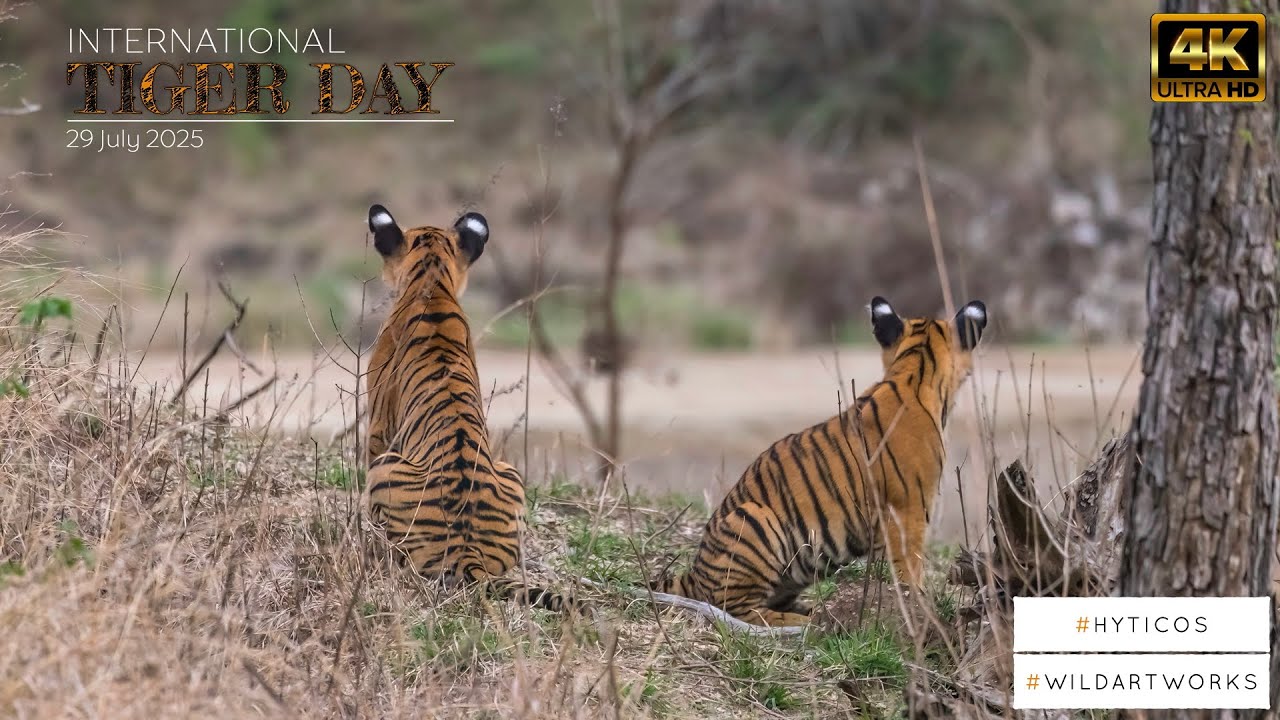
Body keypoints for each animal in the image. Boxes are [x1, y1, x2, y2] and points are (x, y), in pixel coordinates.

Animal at [652, 296, 988, 627]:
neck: (914, 370)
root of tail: (695, 574)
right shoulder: (908, 512)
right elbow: (908, 569)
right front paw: (916, 610)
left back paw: (813, 611)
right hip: (753, 519)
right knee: (740, 610)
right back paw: (802, 622)